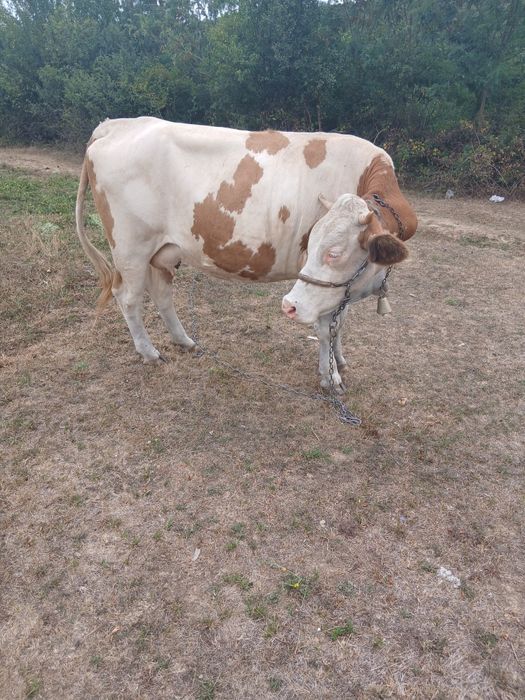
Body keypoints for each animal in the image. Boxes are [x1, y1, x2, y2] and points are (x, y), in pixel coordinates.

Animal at [76, 117, 417, 392]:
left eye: (334, 252)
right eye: (315, 244)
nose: (288, 305)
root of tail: (120, 124)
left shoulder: (340, 287)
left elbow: (340, 323)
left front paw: (340, 359)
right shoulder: (318, 288)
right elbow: (323, 329)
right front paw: (329, 377)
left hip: (162, 251)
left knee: (162, 294)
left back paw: (183, 341)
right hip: (130, 248)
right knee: (128, 298)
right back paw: (149, 353)